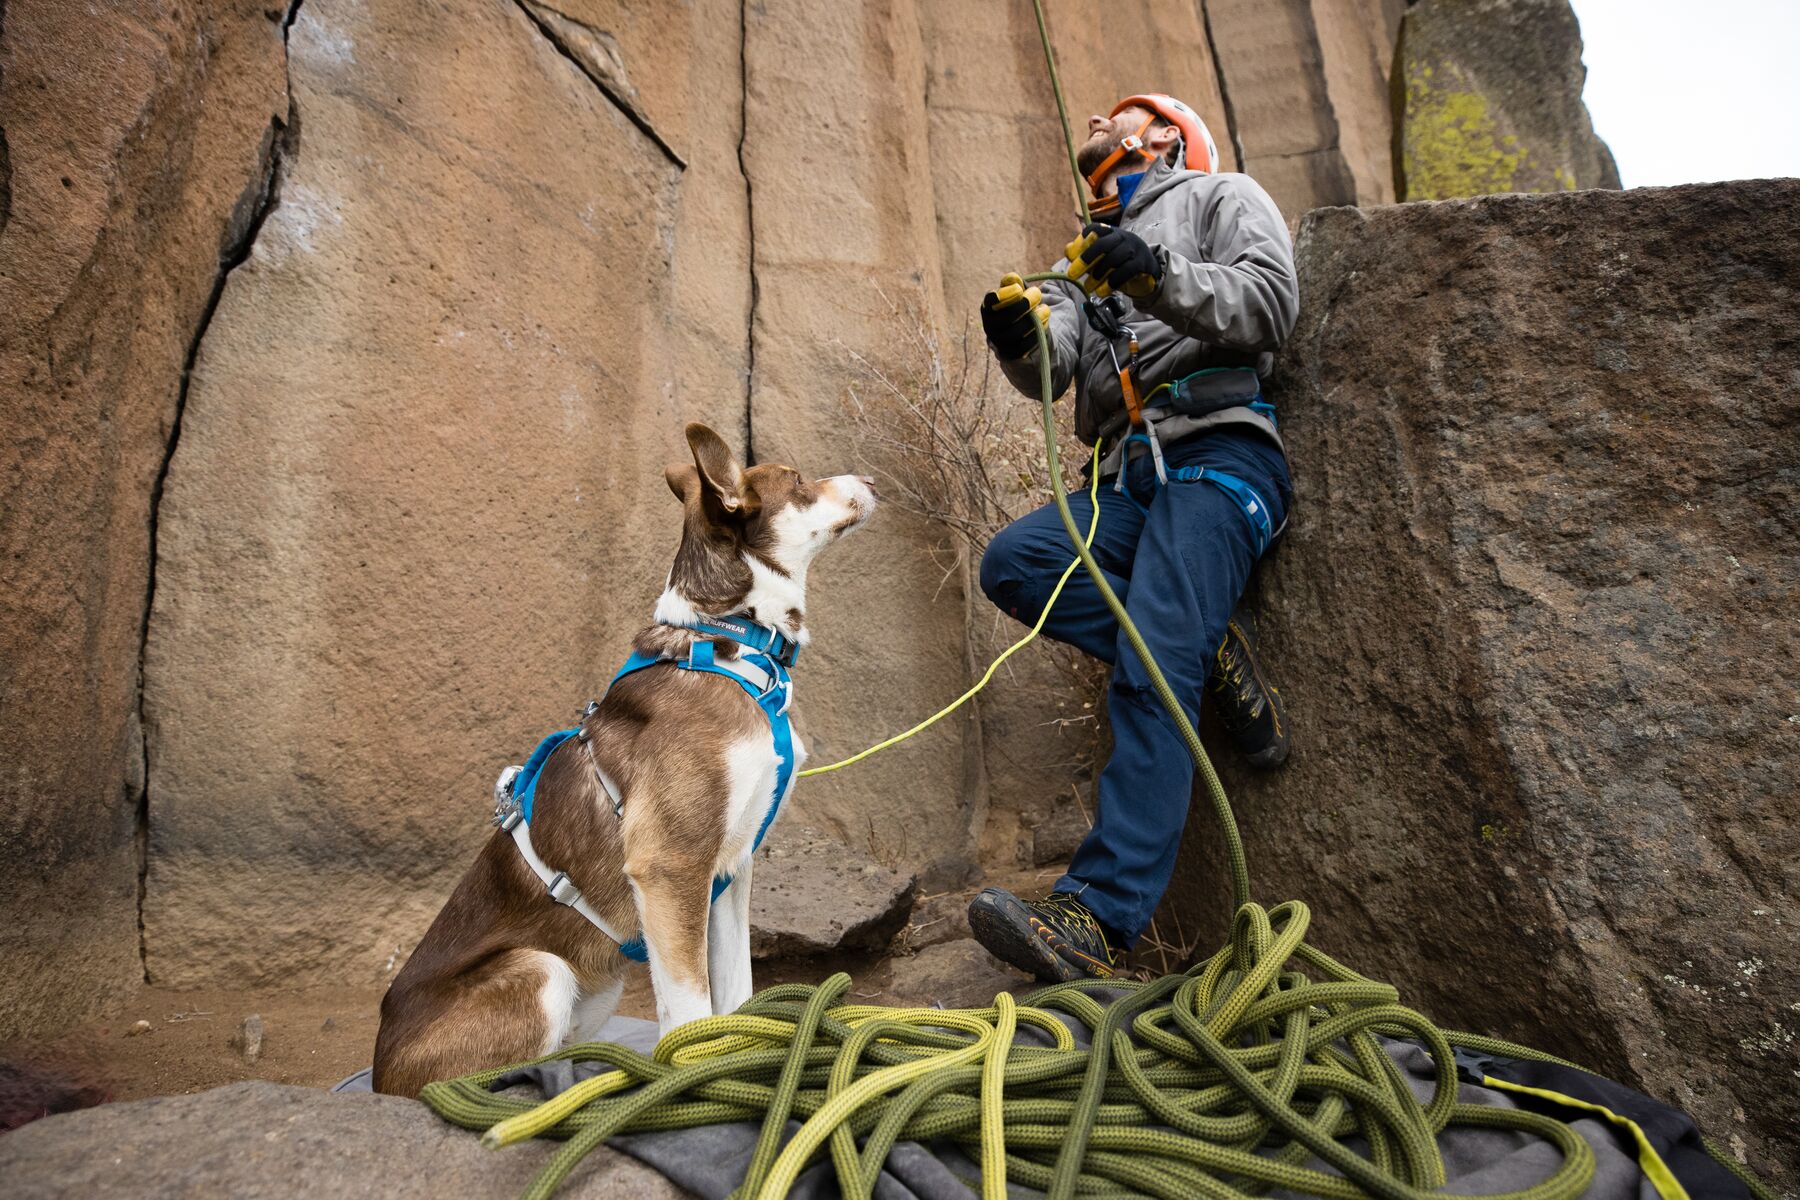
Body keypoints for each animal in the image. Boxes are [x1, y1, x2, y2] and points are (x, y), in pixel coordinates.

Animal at [369, 422, 874, 1101]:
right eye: (797, 481)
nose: (871, 480)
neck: (730, 641)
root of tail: (378, 1070)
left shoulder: (732, 867)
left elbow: (736, 995)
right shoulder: (670, 865)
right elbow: (690, 1012)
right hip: (542, 970)